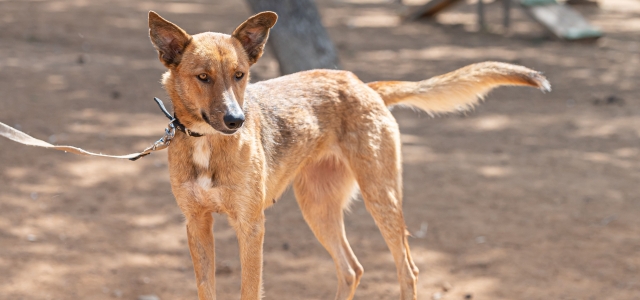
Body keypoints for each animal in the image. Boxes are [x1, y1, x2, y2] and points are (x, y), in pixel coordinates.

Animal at [146, 10, 552, 298]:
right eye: (203, 77)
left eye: (240, 74)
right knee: (351, 269)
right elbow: (206, 288)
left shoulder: (251, 226)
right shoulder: (197, 225)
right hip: (318, 206)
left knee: (407, 270)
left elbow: (249, 290)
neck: (206, 143)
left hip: (380, 197)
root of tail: (363, 84)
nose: (236, 120)